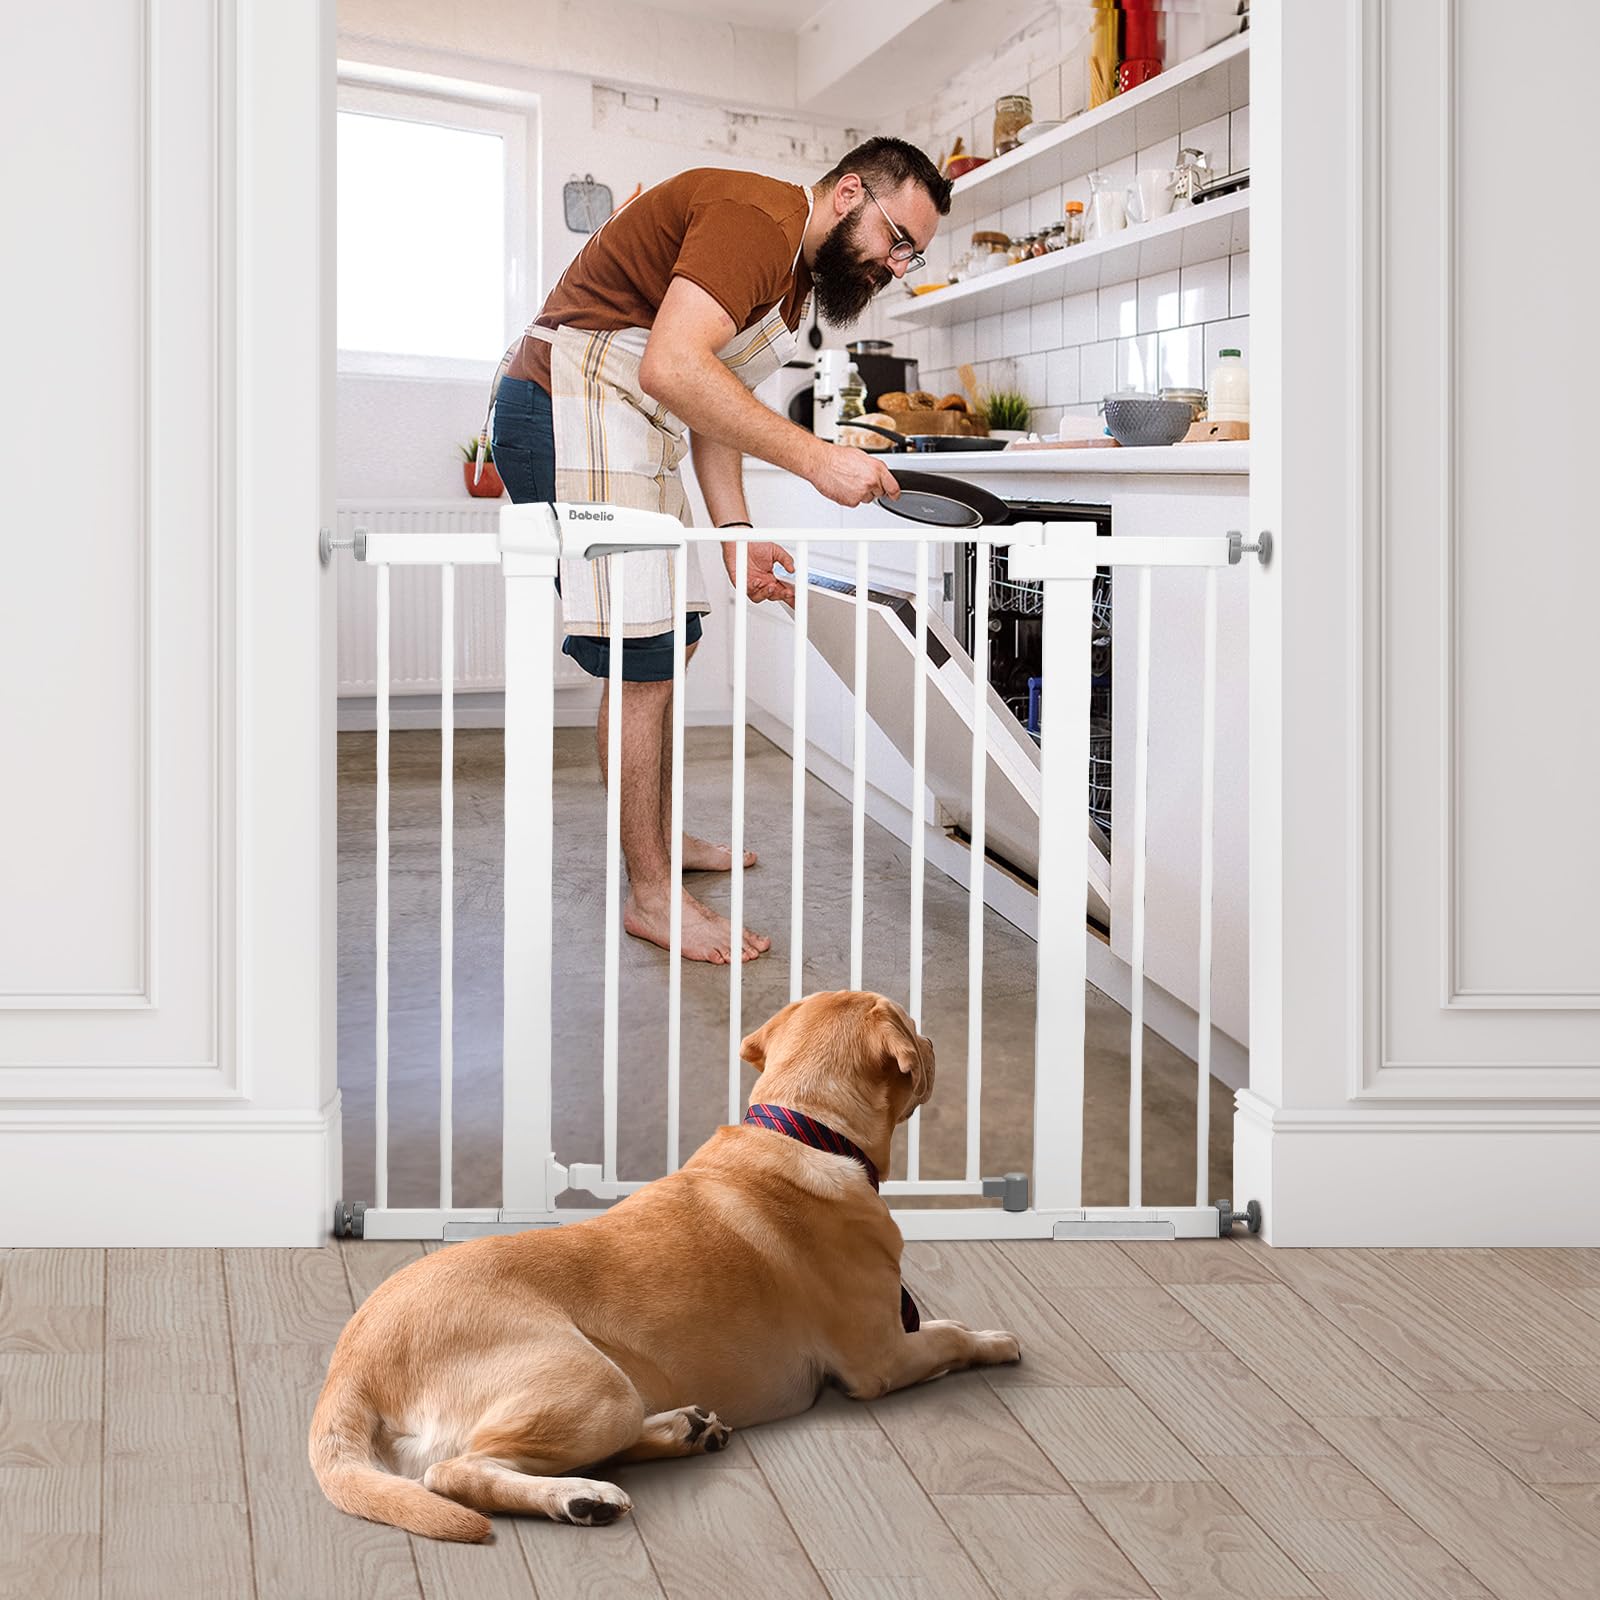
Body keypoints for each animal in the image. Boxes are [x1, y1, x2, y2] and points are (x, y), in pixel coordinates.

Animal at [305, 985, 1017, 1536]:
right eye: (913, 1025)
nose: (934, 1043)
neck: (809, 1128)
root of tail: (352, 1366)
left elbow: (939, 1324)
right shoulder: (880, 1358)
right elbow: (950, 1337)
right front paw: (993, 1340)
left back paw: (683, 1431)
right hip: (595, 1386)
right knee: (456, 1472)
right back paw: (580, 1497)